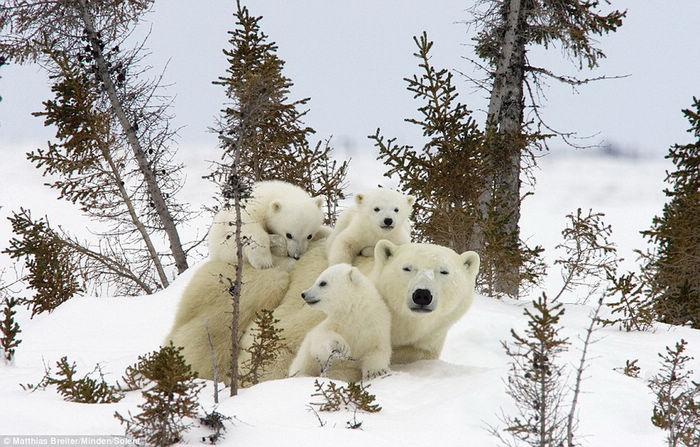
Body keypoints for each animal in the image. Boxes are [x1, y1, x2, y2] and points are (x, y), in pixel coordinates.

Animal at [167, 238, 478, 384]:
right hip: (242, 280)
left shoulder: (423, 343)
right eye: (407, 268)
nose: (422, 295)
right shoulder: (322, 307)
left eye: (444, 271)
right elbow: (283, 338)